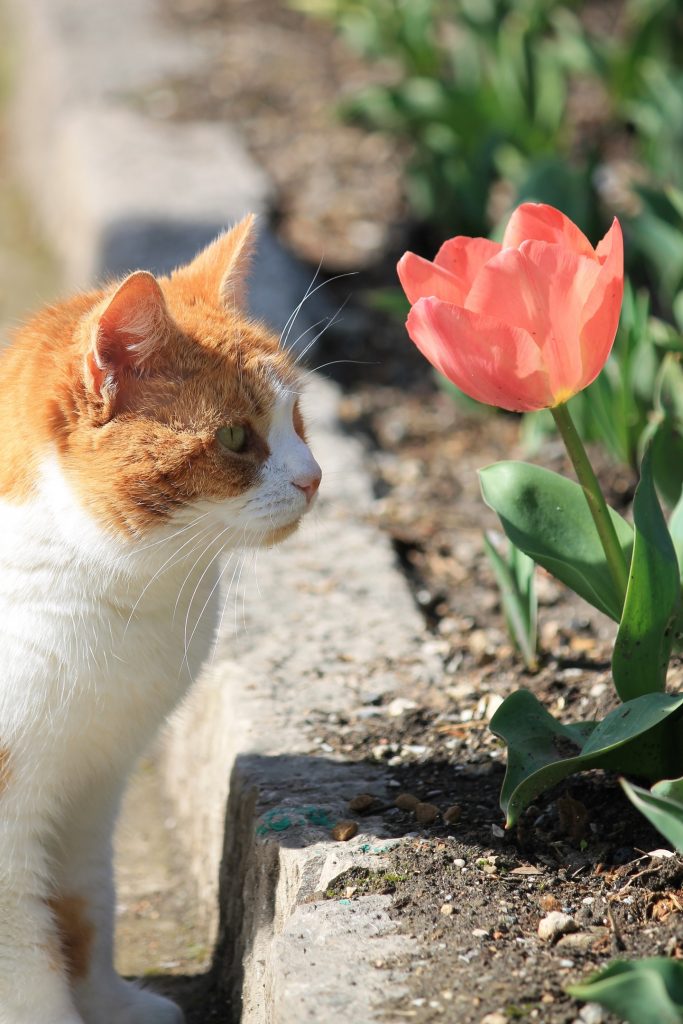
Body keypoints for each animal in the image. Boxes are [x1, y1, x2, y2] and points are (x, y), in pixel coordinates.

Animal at [0, 211, 321, 1019]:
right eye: (236, 437)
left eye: (298, 417)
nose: (314, 477)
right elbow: (24, 955)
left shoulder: (93, 785)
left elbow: (88, 903)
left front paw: (112, 1006)